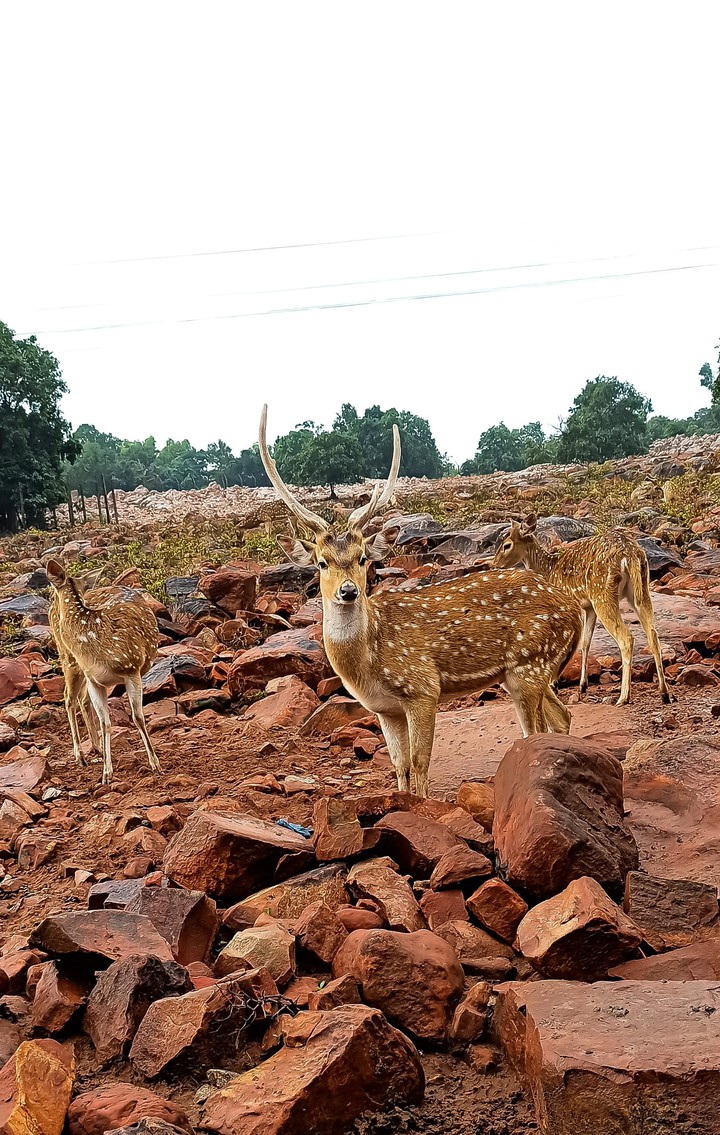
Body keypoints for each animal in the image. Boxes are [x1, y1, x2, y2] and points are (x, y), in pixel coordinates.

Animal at [46, 559, 160, 784]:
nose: (51, 604)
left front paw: (155, 764)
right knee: (69, 697)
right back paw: (80, 756)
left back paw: (97, 748)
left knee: (79, 699)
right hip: (68, 658)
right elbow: (106, 722)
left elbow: (137, 717)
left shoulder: (132, 667)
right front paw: (107, 774)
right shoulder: (95, 680)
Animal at [259, 406, 583, 797]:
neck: (368, 663)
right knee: (561, 716)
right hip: (523, 672)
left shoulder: (423, 688)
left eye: (363, 558)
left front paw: (424, 804)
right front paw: (402, 800)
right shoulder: (384, 709)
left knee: (535, 729)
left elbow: (420, 763)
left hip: (530, 664)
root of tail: (575, 611)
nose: (349, 591)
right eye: (322, 563)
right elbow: (399, 765)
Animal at [492, 514, 671, 707]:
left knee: (626, 638)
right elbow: (585, 643)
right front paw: (582, 686)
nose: (494, 564)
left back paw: (623, 697)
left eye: (507, 544)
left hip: (603, 594)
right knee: (653, 634)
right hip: (640, 590)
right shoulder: (588, 607)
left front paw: (554, 684)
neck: (547, 570)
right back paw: (665, 694)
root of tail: (629, 553)